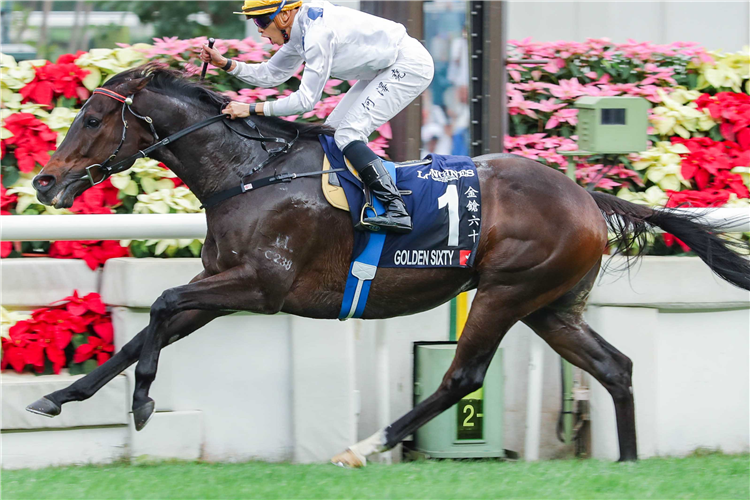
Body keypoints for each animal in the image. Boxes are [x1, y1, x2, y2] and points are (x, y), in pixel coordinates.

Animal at [29, 65, 750, 464]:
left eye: (92, 117)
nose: (43, 181)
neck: (247, 172)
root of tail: (586, 195)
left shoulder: (260, 286)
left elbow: (157, 307)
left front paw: (143, 402)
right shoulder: (222, 286)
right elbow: (143, 332)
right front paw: (60, 397)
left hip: (505, 291)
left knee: (463, 377)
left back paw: (362, 448)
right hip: (551, 305)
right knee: (616, 367)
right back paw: (626, 464)